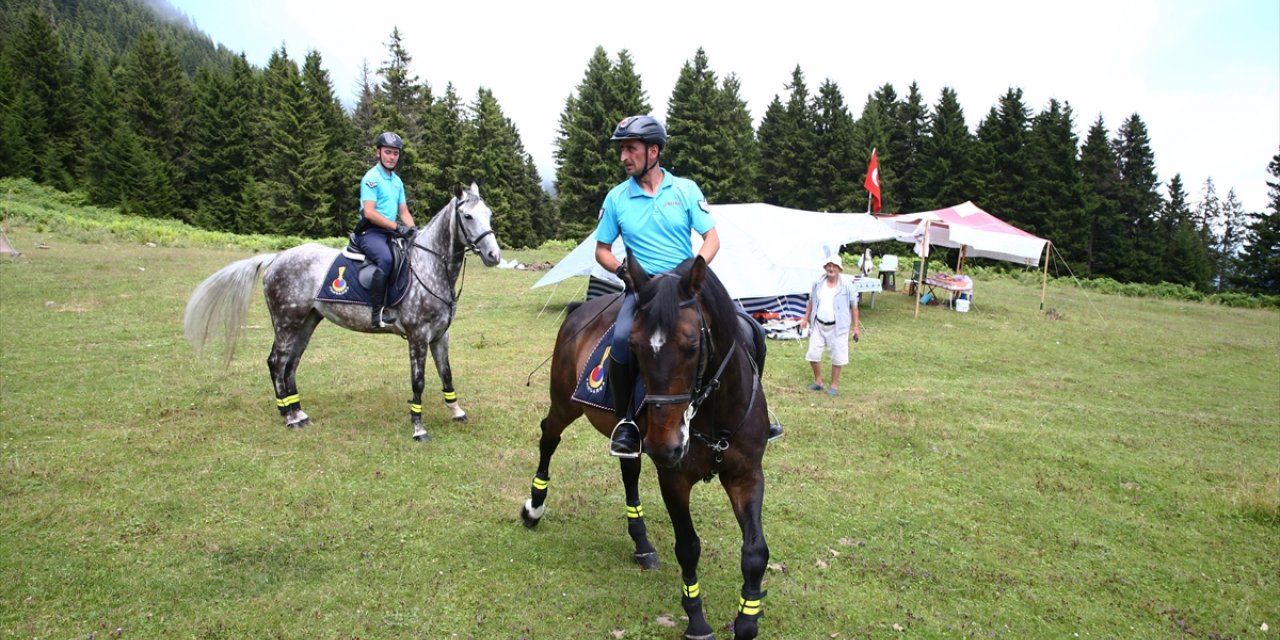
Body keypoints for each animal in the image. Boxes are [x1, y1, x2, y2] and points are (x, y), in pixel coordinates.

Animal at [184, 180, 499, 440]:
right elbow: (418, 382)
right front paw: (418, 428)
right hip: (286, 321)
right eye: (467, 217)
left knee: (291, 363)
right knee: (276, 361)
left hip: (307, 321)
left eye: (489, 214)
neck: (428, 265)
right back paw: (287, 416)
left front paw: (457, 411)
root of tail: (277, 258)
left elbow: (447, 373)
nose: (494, 256)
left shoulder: (439, 335)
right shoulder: (418, 336)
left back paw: (299, 412)